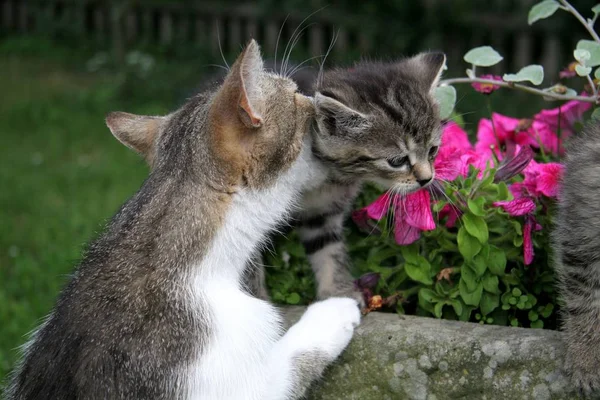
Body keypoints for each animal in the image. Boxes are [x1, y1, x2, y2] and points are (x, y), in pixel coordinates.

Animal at [246, 52, 448, 304]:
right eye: (397, 161)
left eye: (433, 150)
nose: (426, 179)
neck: (322, 178)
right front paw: (254, 302)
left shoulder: (323, 212)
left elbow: (329, 249)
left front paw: (337, 294)